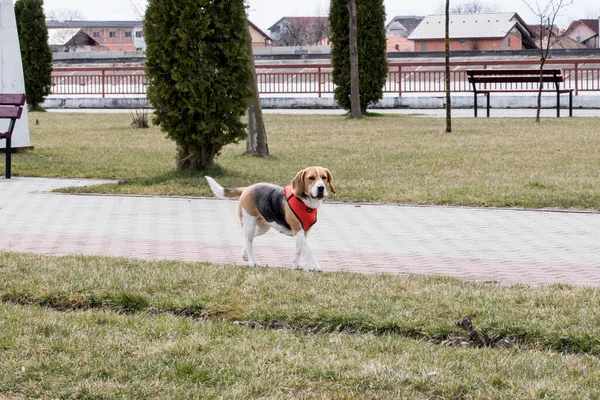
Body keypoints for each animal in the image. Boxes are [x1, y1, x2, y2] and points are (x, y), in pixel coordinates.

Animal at [205, 166, 338, 272]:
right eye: (311, 178)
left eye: (324, 177)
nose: (321, 188)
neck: (306, 202)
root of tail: (247, 188)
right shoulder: (298, 231)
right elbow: (308, 250)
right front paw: (315, 266)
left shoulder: (303, 233)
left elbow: (299, 249)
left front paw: (295, 265)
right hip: (249, 225)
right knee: (249, 244)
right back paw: (252, 262)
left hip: (262, 228)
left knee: (247, 240)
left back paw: (244, 256)